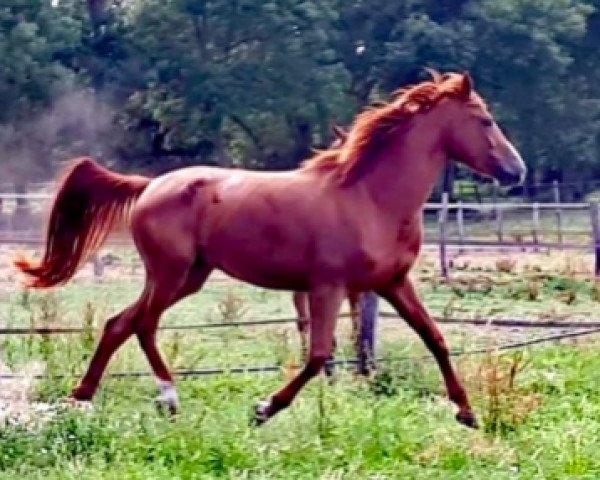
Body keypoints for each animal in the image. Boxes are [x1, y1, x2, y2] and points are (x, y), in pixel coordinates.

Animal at [14, 71, 524, 428]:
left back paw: (89, 397)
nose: (516, 171)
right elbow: (318, 355)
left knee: (122, 323)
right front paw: (263, 409)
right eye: (485, 120)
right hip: (169, 272)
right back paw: (158, 397)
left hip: (189, 276)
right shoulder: (327, 286)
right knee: (139, 324)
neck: (370, 198)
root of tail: (148, 186)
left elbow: (435, 338)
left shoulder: (392, 283)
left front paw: (467, 413)